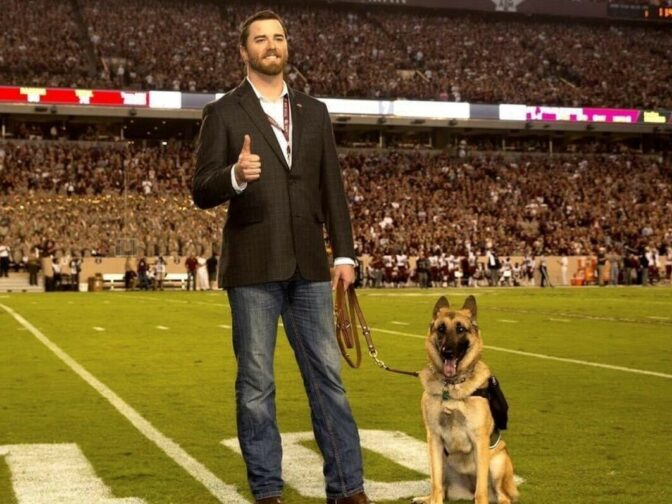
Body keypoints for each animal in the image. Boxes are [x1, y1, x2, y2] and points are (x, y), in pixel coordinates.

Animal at [412, 296, 516, 504]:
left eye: (460, 329)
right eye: (441, 329)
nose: (447, 352)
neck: (450, 387)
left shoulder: (479, 439)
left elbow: (480, 490)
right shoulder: (434, 438)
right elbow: (436, 486)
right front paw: (433, 499)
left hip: (498, 461)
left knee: (502, 496)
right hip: (441, 460)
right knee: (439, 486)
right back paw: (425, 498)